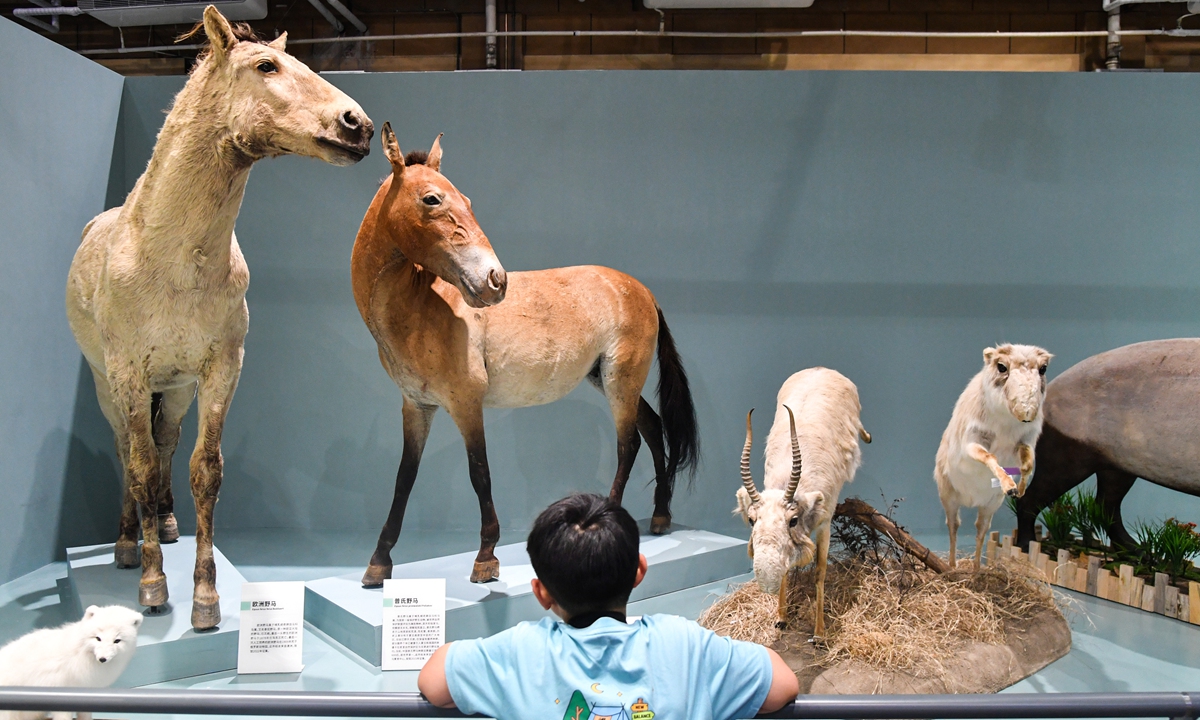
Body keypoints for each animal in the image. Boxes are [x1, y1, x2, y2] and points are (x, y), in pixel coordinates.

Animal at [66, 8, 374, 628]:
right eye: (266, 66)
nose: (359, 124)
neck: (172, 261)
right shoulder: (129, 373)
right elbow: (138, 467)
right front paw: (154, 586)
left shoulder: (219, 371)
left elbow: (203, 471)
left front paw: (205, 599)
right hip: (109, 384)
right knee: (127, 450)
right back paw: (127, 544)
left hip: (175, 388)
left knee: (163, 445)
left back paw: (163, 522)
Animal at [734, 369, 868, 638]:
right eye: (752, 520)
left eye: (793, 520)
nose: (766, 580)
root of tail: (822, 368)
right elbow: (787, 571)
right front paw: (781, 617)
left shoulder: (825, 521)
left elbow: (820, 571)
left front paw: (819, 632)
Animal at [936, 343, 1051, 568]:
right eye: (1001, 366)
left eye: (1043, 369)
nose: (1027, 413)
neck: (1006, 422)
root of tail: (971, 499)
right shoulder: (972, 442)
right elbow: (991, 457)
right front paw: (1009, 486)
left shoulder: (1025, 442)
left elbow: (1028, 464)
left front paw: (1019, 490)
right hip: (949, 498)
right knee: (953, 526)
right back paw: (951, 567)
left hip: (990, 505)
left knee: (981, 529)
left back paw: (976, 569)